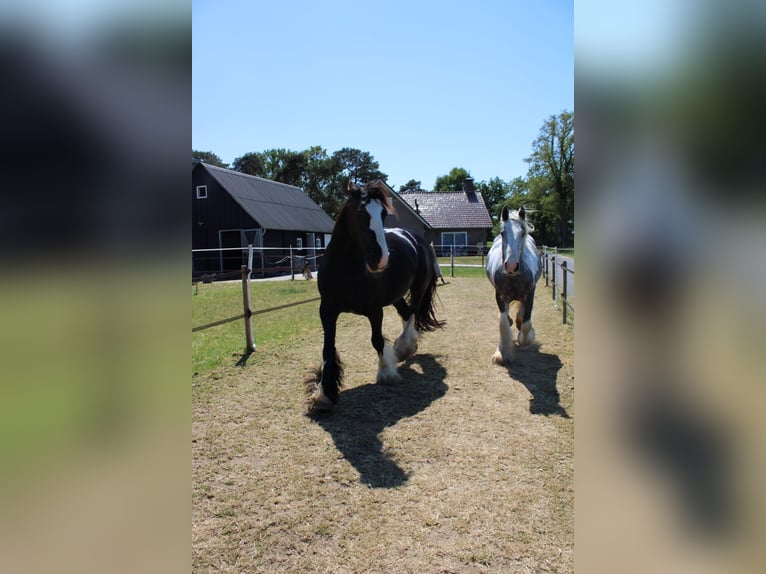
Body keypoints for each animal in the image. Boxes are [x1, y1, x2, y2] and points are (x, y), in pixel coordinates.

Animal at [308, 182, 448, 412]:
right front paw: (324, 394)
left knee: (413, 312)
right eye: (359, 212)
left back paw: (404, 346)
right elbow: (327, 349)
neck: (347, 269)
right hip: (396, 295)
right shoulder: (327, 310)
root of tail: (416, 239)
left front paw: (386, 373)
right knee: (406, 312)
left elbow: (377, 340)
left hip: (418, 288)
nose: (380, 259)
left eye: (383, 213)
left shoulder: (375, 311)